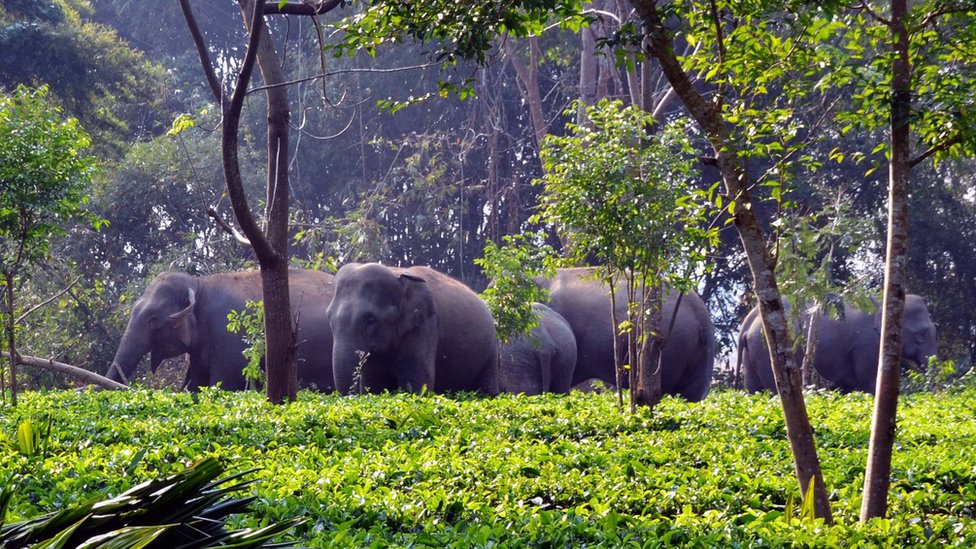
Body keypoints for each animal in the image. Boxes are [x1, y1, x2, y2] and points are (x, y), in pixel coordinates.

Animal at [328, 262, 500, 394]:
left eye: (370, 320)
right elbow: (373, 383)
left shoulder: (426, 326)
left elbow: (417, 381)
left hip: (491, 351)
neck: (397, 276)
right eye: (329, 318)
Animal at [740, 294, 936, 392]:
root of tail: (748, 322)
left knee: (754, 390)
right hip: (766, 351)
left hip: (752, 354)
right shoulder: (868, 344)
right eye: (921, 334)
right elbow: (870, 382)